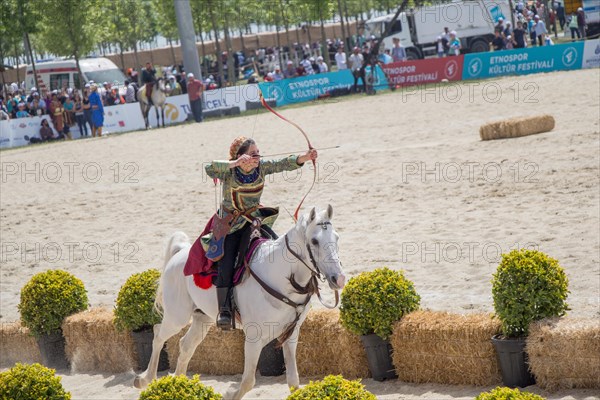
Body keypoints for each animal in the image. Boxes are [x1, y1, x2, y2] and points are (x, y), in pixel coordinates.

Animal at [133, 206, 344, 400]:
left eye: (336, 238)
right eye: (314, 241)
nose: (339, 279)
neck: (280, 275)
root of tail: (180, 252)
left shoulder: (291, 333)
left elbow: (293, 379)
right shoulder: (254, 338)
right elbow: (248, 381)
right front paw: (230, 394)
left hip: (202, 319)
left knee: (185, 345)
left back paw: (179, 382)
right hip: (177, 316)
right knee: (158, 334)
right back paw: (144, 379)